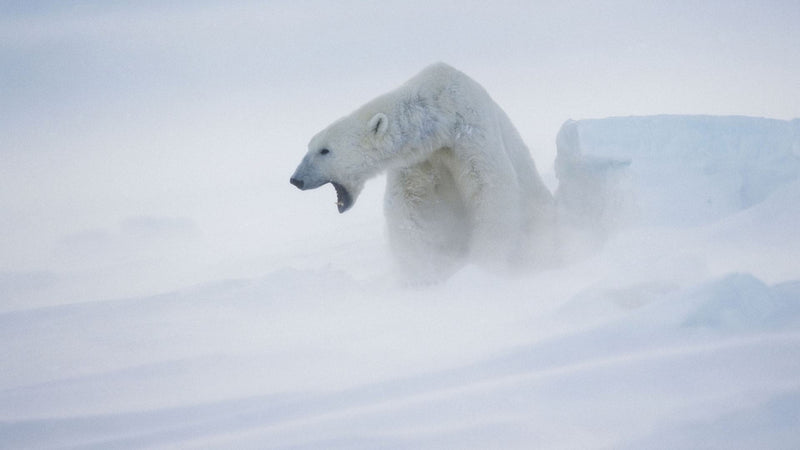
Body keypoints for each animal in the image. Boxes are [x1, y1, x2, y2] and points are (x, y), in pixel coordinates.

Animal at [290, 63, 552, 282]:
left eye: (325, 150)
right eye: (309, 146)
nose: (296, 179)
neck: (441, 115)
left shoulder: (471, 138)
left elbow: (492, 193)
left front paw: (483, 265)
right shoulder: (420, 160)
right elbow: (407, 207)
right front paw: (422, 271)